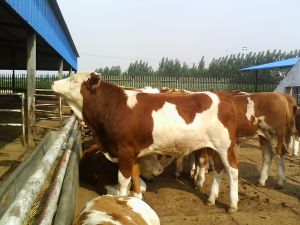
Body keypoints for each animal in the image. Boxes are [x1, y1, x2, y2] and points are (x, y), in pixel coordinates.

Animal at [51, 71, 239, 211]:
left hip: (225, 146)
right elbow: (134, 175)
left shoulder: (125, 152)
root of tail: (223, 96)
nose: (53, 82)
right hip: (215, 147)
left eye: (74, 80)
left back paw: (232, 204)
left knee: (233, 170)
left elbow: (122, 181)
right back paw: (211, 199)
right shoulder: (133, 152)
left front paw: (121, 201)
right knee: (219, 169)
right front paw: (135, 197)